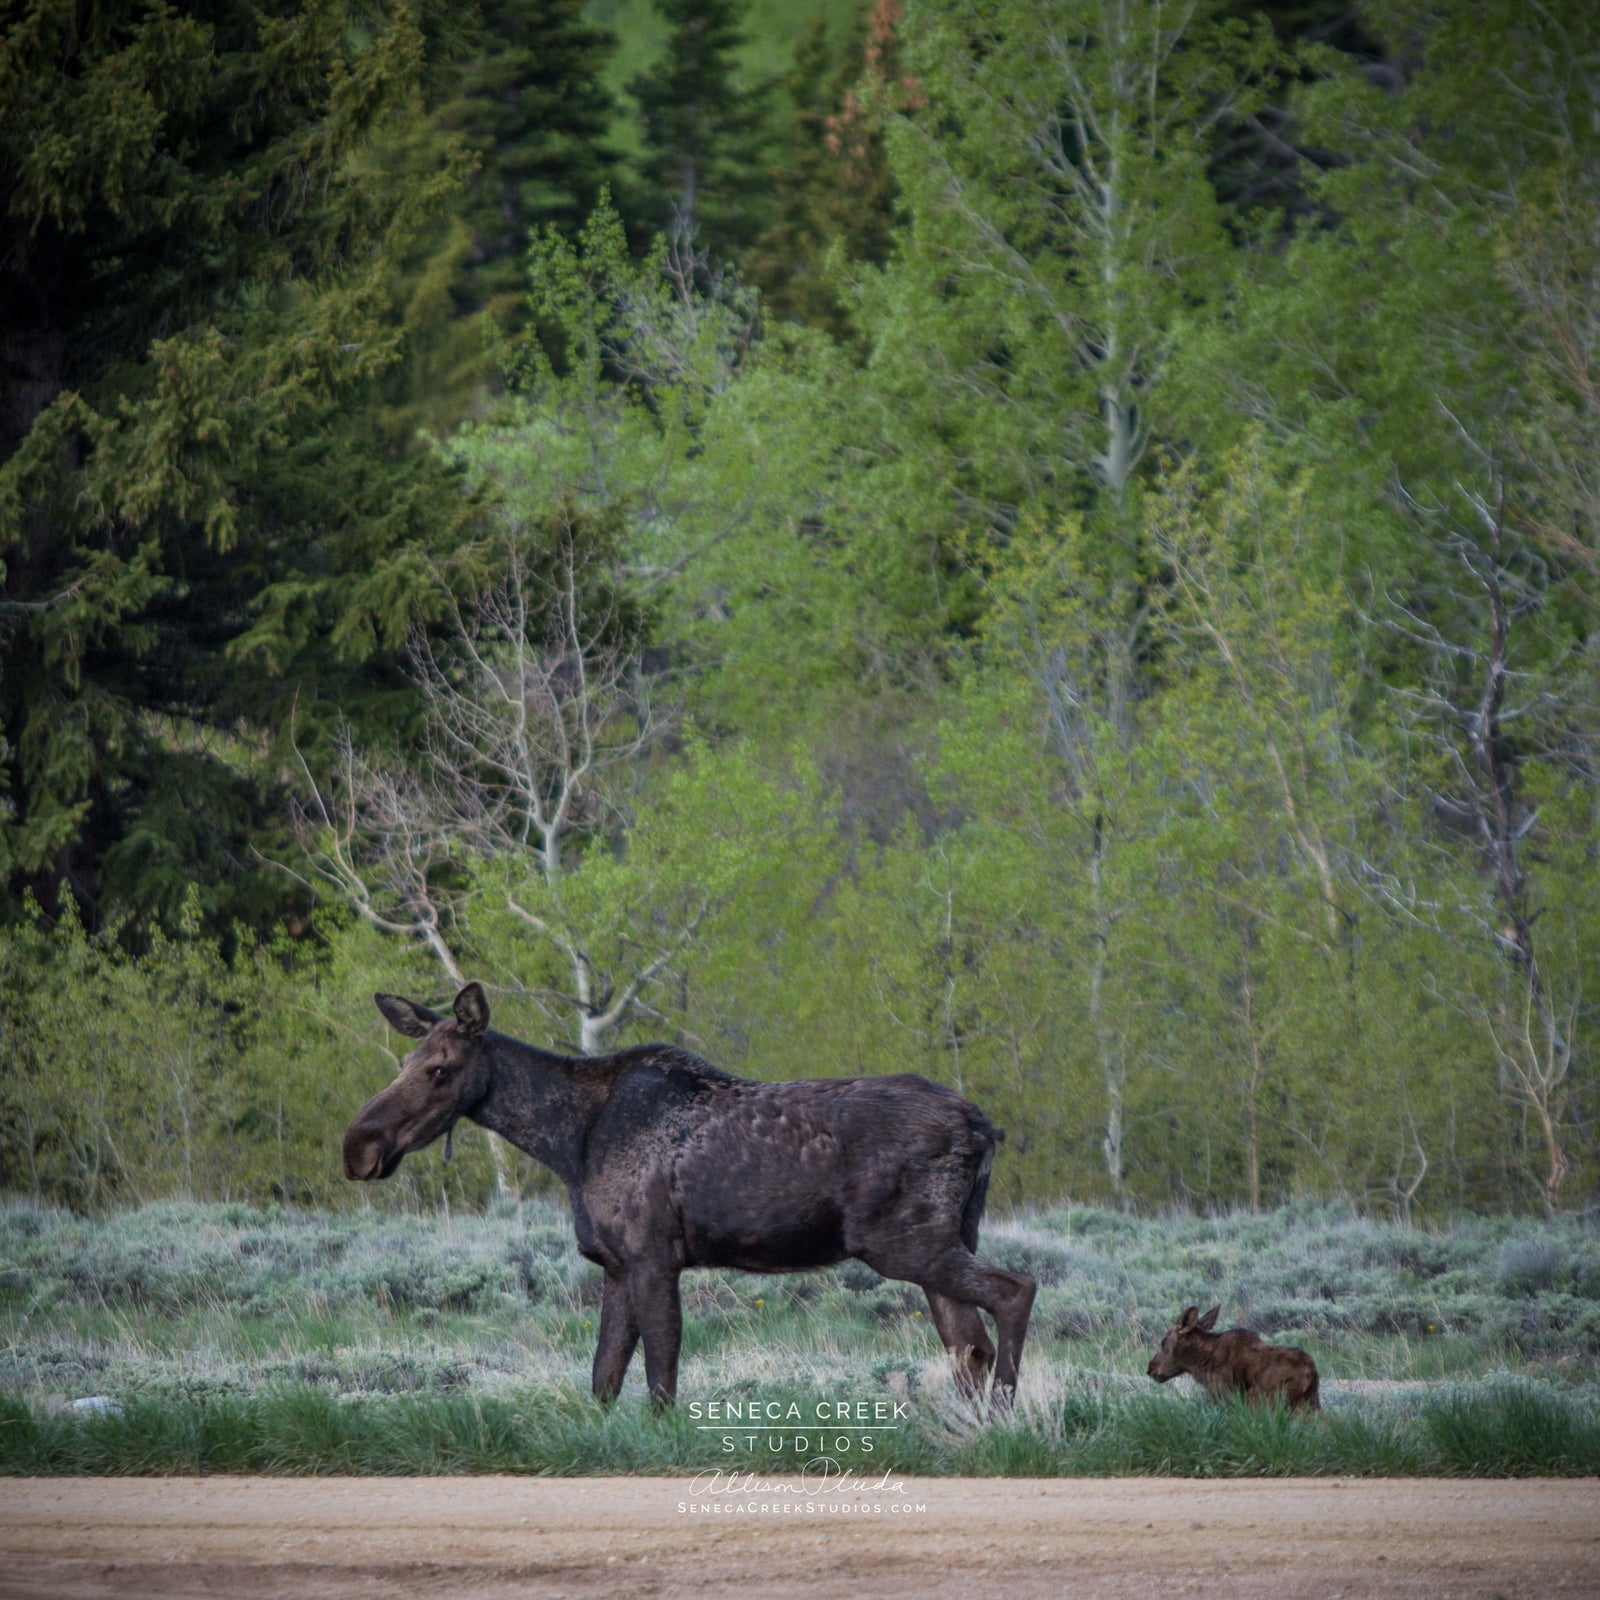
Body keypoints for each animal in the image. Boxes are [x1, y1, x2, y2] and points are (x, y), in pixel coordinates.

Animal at [343, 983, 1036, 1409]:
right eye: (403, 1062)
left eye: (440, 1069)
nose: (357, 1146)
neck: (568, 1144)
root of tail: (985, 1127)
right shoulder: (616, 1264)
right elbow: (603, 1378)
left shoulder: (654, 1255)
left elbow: (660, 1376)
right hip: (940, 1238)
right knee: (968, 1345)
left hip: (901, 1241)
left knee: (1014, 1291)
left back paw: (1005, 1415)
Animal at [1147, 1305, 1321, 1411]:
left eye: (1164, 1343)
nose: (1150, 1368)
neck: (1200, 1365)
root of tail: (1310, 1372)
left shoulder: (1226, 1396)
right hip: (1310, 1404)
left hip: (1265, 1400)